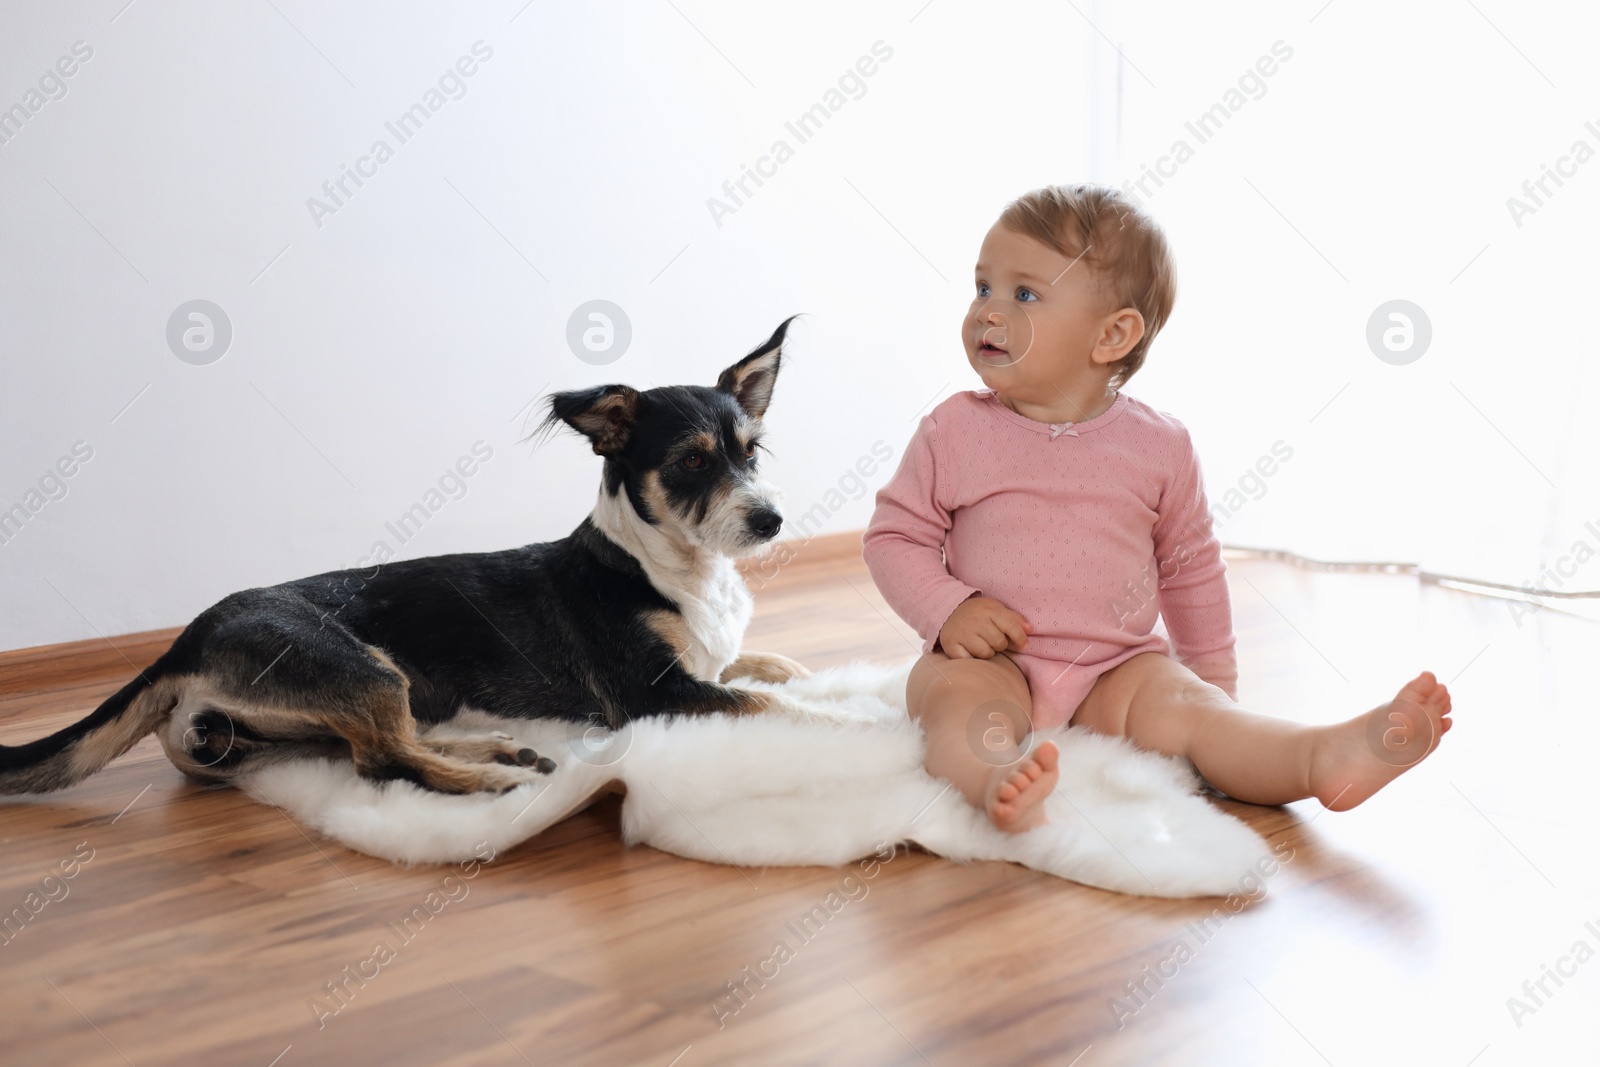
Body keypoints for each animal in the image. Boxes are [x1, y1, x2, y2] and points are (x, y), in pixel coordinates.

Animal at [0, 321, 812, 796]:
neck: (672, 569)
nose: (771, 520)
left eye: (751, 453)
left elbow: (756, 665)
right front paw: (826, 715)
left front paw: (798, 668)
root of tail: (186, 639)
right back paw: (492, 779)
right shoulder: (651, 692)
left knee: (377, 744)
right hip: (361, 669)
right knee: (382, 759)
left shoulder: (703, 666)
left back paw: (498, 750)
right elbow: (765, 703)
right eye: (690, 463)